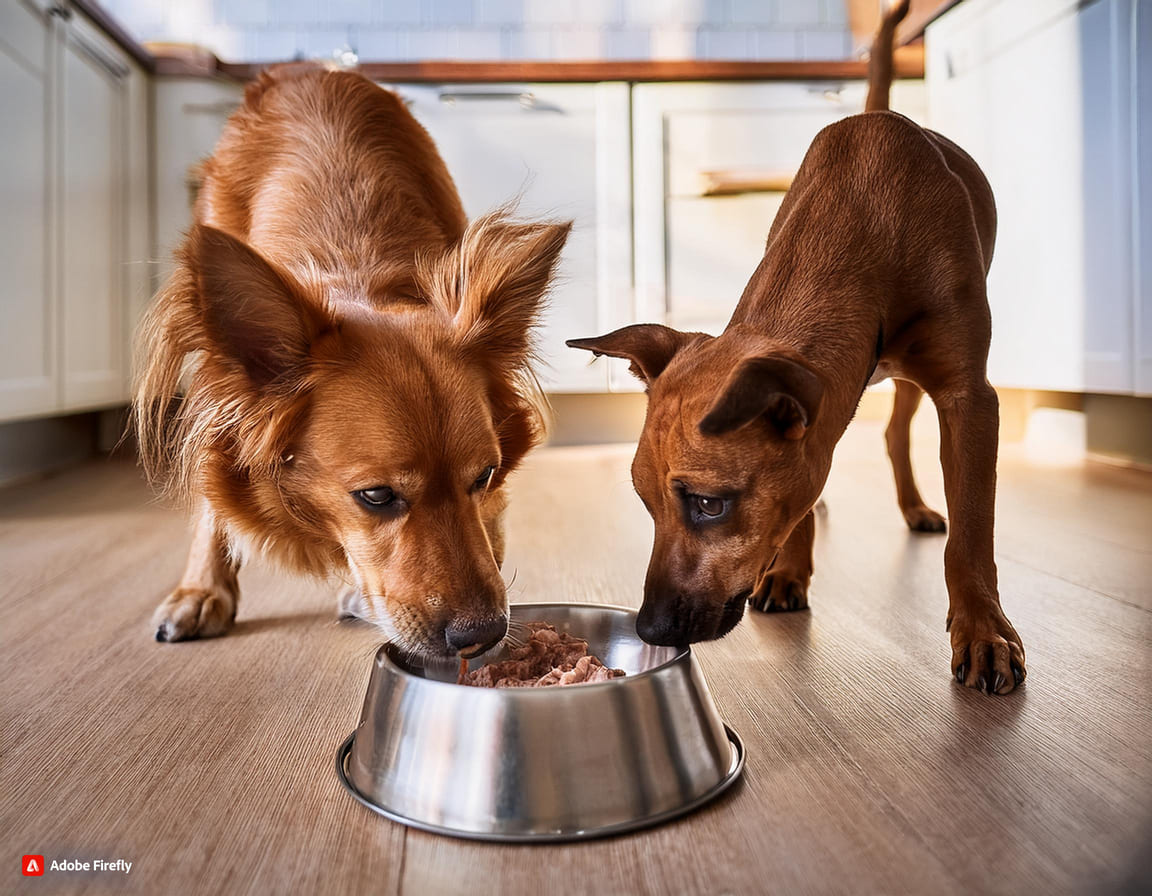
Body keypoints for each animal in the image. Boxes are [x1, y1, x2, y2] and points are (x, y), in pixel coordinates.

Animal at [137, 66, 569, 654]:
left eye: (485, 475)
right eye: (376, 496)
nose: (482, 636)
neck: (352, 263)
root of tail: (309, 68)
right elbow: (213, 493)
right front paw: (203, 588)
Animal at [566, 0, 1027, 695]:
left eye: (708, 505)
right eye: (645, 503)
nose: (649, 630)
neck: (865, 221)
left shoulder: (969, 396)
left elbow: (972, 532)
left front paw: (983, 631)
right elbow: (801, 493)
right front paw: (788, 569)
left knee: (897, 432)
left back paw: (917, 507)